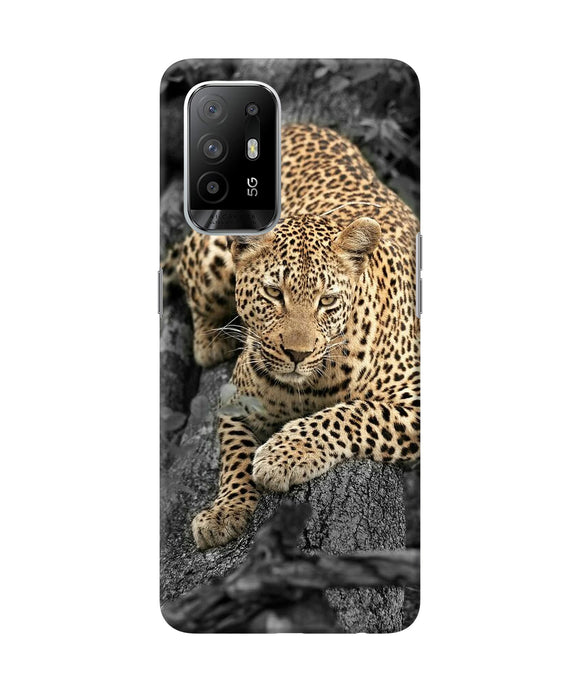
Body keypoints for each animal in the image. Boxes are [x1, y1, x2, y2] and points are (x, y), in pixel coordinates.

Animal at [163, 123, 420, 550]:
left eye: (326, 300)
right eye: (273, 293)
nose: (297, 354)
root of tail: (296, 124)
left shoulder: (414, 399)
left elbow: (352, 413)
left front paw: (282, 455)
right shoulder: (235, 399)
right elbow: (234, 455)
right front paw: (224, 511)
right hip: (211, 257)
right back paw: (211, 340)